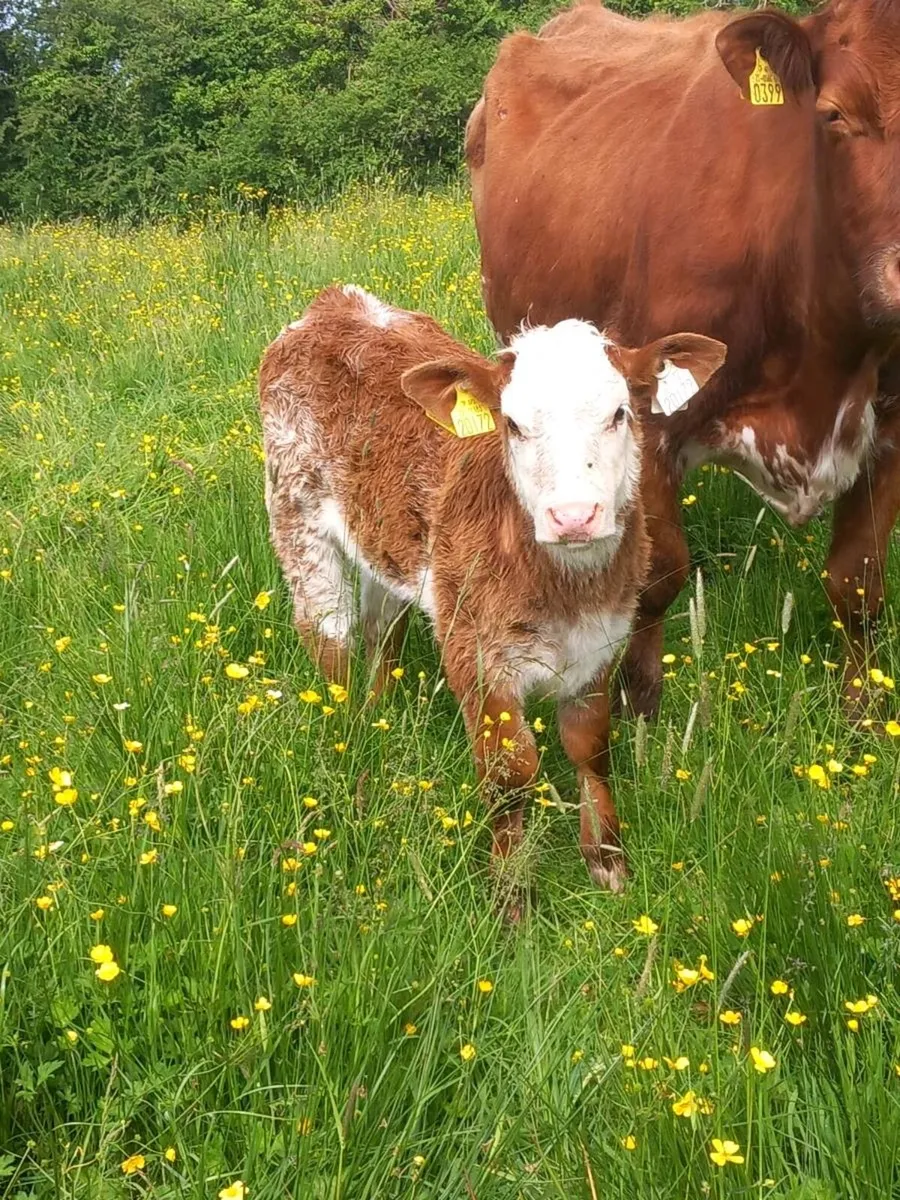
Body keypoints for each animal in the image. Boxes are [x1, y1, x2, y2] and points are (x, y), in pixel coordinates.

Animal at [259, 284, 725, 894]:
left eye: (619, 414)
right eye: (513, 425)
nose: (573, 516)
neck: (565, 590)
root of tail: (334, 303)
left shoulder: (601, 643)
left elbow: (591, 747)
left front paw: (607, 860)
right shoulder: (476, 656)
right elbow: (511, 772)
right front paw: (510, 888)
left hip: (388, 545)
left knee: (383, 627)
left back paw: (378, 718)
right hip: (297, 519)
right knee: (329, 636)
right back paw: (346, 732)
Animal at [466, 0, 900, 718]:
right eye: (834, 114)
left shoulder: (890, 424)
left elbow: (858, 580)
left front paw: (862, 711)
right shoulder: (650, 417)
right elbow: (657, 575)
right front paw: (638, 706)